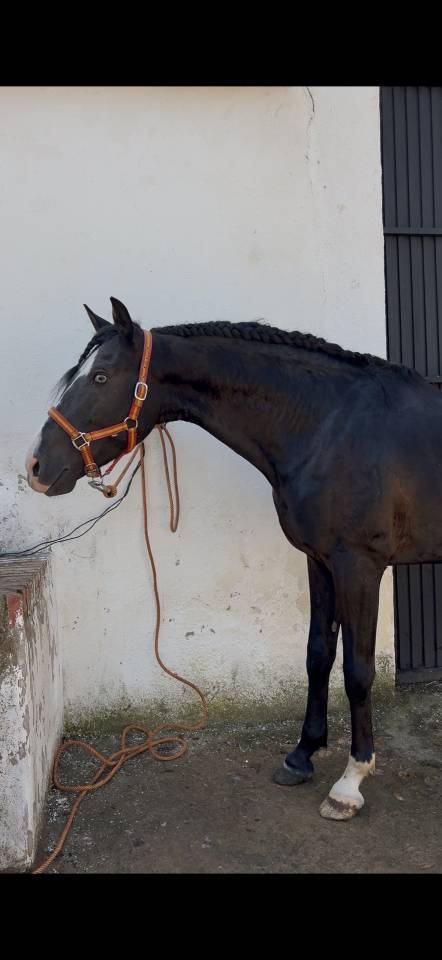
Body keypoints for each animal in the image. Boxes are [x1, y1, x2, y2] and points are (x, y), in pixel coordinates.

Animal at [26, 296, 442, 821]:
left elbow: (359, 671)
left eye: (100, 377)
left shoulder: (360, 567)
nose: (36, 467)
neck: (330, 426)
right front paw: (302, 755)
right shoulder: (321, 562)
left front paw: (351, 781)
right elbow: (318, 655)